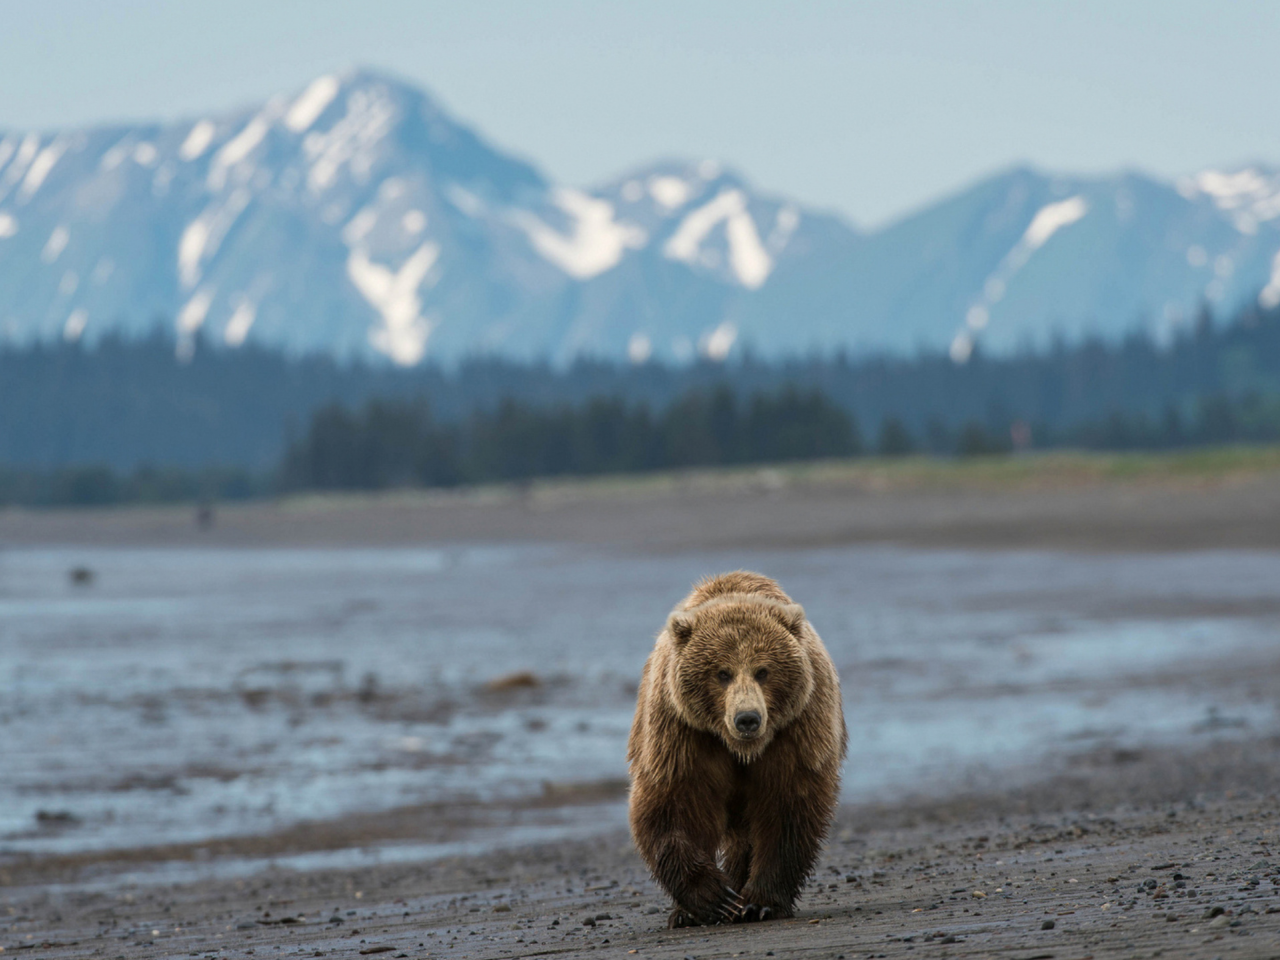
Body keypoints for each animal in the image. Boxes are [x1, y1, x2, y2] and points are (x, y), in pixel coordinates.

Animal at [624, 570, 844, 926]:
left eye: (763, 670)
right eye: (722, 673)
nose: (747, 719)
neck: (740, 749)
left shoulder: (795, 729)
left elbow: (787, 805)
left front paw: (760, 902)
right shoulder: (682, 732)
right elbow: (674, 802)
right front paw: (712, 899)